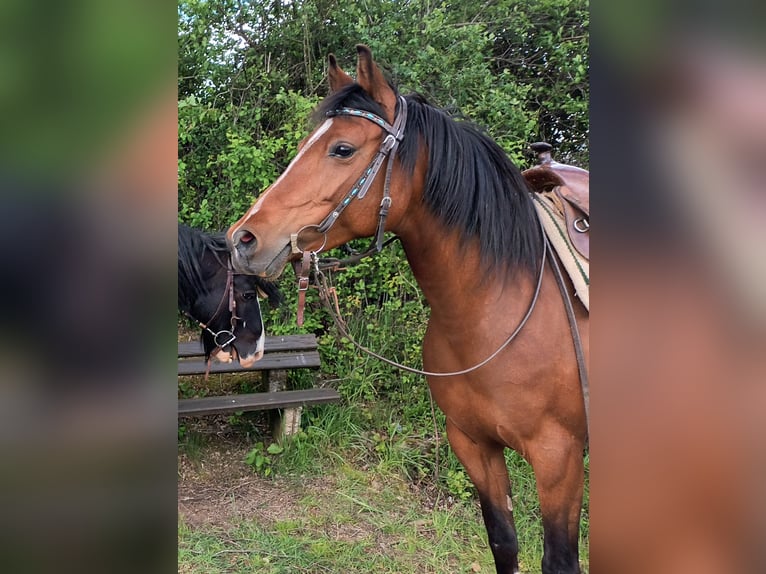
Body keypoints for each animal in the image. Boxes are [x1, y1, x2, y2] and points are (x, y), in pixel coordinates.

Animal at [226, 46, 588, 574]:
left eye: (342, 149)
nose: (243, 239)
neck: (491, 310)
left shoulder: (558, 458)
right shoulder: (473, 444)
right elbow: (503, 542)